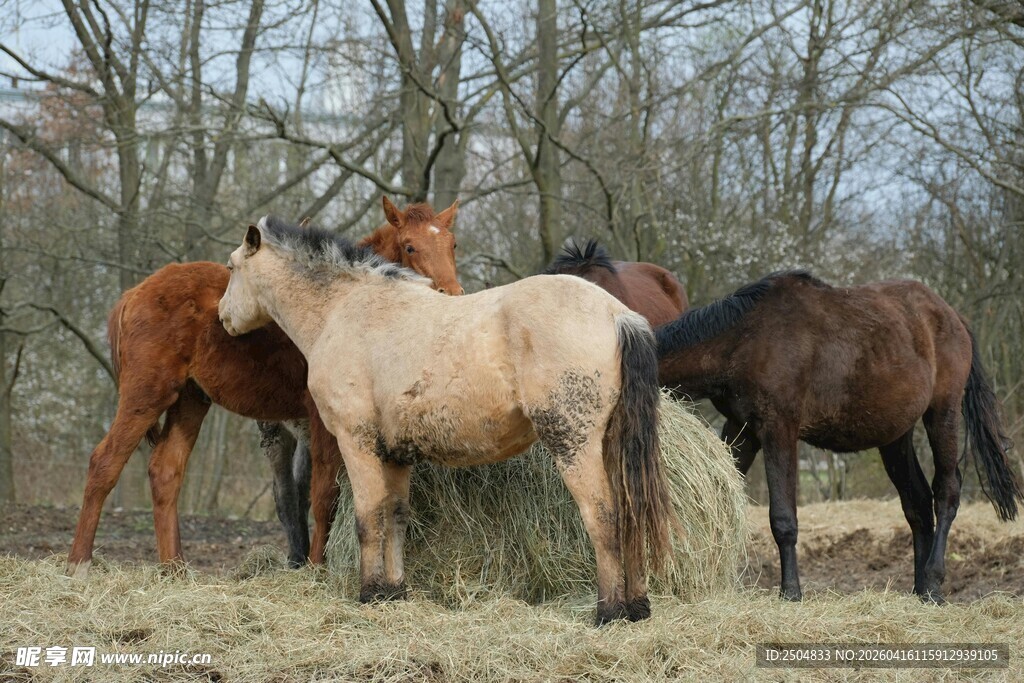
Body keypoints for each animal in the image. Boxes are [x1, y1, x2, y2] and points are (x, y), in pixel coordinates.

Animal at [66, 197, 462, 578]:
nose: (452, 293)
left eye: (452, 243)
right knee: (104, 463)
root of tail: (134, 293)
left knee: (165, 471)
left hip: (191, 401)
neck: (338, 304)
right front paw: (315, 569)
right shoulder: (321, 422)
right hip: (147, 395)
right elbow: (323, 495)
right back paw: (79, 564)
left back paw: (174, 569)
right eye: (410, 246)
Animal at [655, 269, 1023, 602]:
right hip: (895, 436)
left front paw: (791, 592)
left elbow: (783, 519)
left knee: (946, 492)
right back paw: (919, 589)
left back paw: (933, 584)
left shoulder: (778, 430)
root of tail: (951, 315)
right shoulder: (742, 428)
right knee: (918, 503)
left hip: (942, 414)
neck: (745, 338)